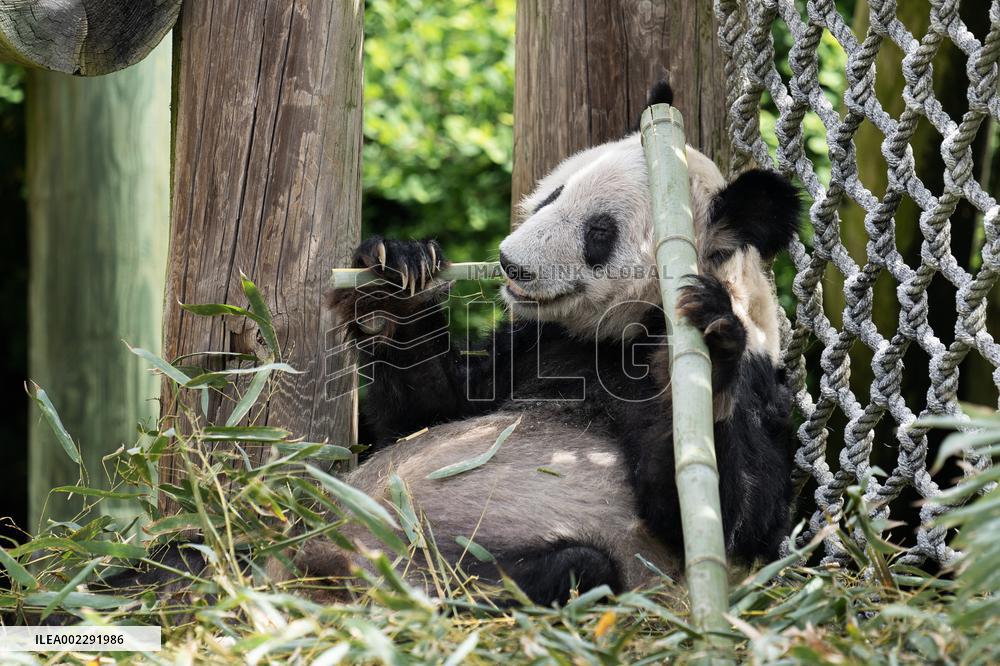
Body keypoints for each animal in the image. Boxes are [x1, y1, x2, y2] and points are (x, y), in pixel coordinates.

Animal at [269, 82, 802, 607]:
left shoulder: (759, 384)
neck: (621, 332)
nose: (512, 265)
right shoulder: (535, 343)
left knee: (575, 569)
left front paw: (709, 346)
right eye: (554, 195)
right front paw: (395, 280)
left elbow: (733, 516)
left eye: (599, 232)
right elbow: (426, 414)